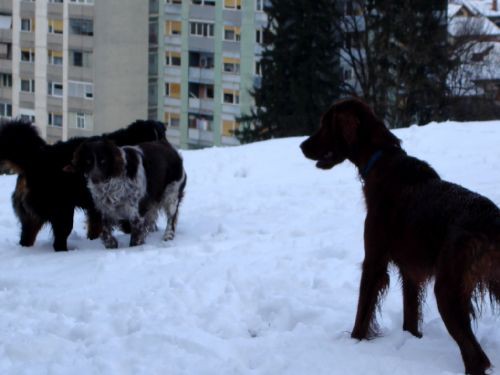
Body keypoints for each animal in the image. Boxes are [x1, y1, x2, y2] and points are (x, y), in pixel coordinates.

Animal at [0, 119, 168, 251]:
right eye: (151, 138)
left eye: (161, 136)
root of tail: (34, 159)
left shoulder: (96, 207)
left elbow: (95, 226)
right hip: (62, 210)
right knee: (59, 239)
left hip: (33, 216)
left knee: (27, 237)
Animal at [300, 98, 500, 374]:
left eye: (325, 123)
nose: (301, 146)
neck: (381, 161)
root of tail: (492, 221)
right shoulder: (410, 271)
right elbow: (410, 318)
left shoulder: (374, 261)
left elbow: (362, 312)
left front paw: (354, 343)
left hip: (447, 290)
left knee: (476, 356)